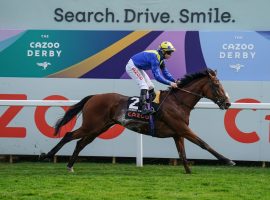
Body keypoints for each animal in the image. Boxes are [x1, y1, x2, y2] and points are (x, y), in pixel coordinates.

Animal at [39, 68, 234, 173]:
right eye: (217, 85)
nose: (227, 103)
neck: (178, 101)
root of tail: (93, 97)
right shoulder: (183, 129)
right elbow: (204, 144)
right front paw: (228, 161)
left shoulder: (178, 133)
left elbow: (183, 154)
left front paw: (188, 172)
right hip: (91, 125)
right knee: (69, 135)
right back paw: (47, 156)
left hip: (99, 128)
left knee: (80, 143)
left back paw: (70, 166)